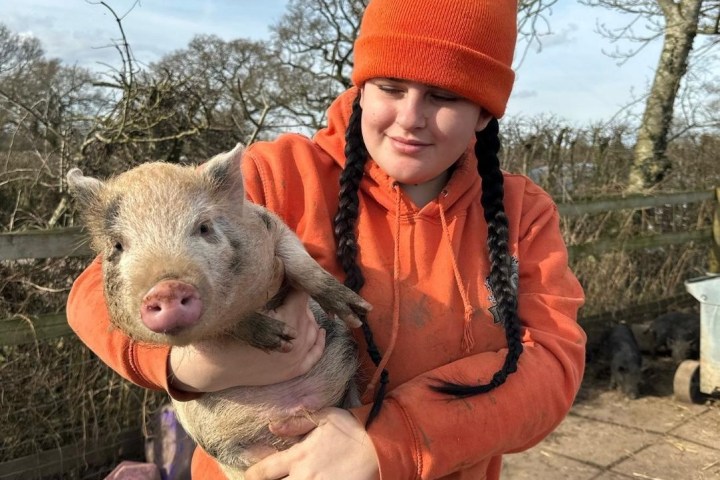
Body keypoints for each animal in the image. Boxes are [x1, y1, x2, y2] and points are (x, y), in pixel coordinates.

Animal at [66, 144, 371, 480]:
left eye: (204, 227)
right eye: (117, 246)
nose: (167, 287)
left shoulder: (272, 225)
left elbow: (301, 263)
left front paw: (357, 312)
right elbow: (228, 323)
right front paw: (278, 339)